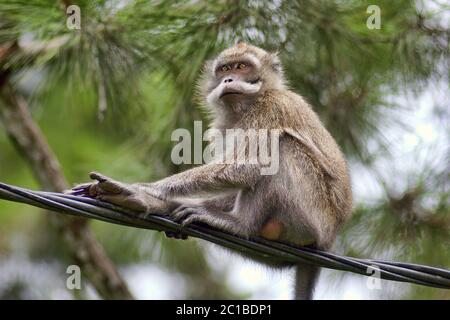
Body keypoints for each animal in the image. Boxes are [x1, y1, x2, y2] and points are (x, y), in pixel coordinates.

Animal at [69, 42, 352, 300]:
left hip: (311, 217)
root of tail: (329, 237)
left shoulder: (271, 107)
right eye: (225, 68)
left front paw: (142, 189)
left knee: (281, 147)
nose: (228, 79)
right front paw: (153, 201)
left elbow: (247, 167)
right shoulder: (224, 126)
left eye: (242, 67)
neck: (247, 106)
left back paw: (240, 225)